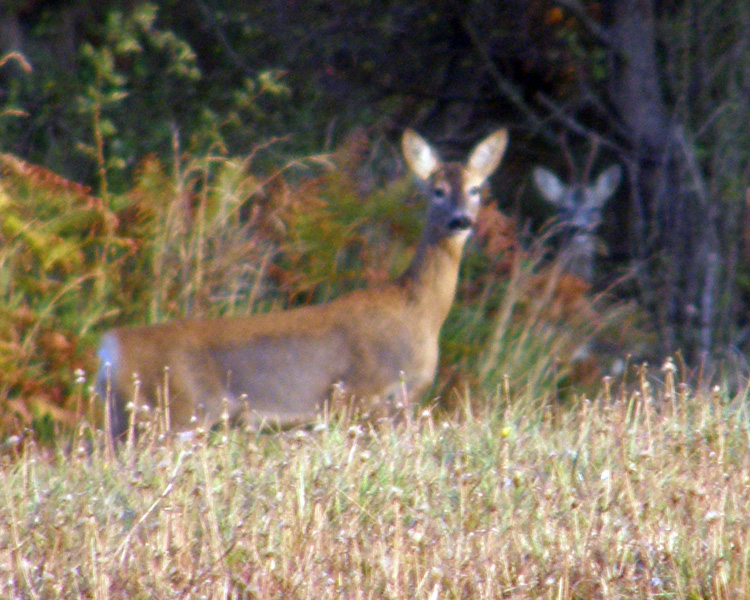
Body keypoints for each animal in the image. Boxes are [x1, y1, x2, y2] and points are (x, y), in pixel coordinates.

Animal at [97, 127, 512, 436]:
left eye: (475, 189)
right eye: (436, 191)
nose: (461, 220)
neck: (420, 309)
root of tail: (110, 348)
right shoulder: (362, 391)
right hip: (177, 410)